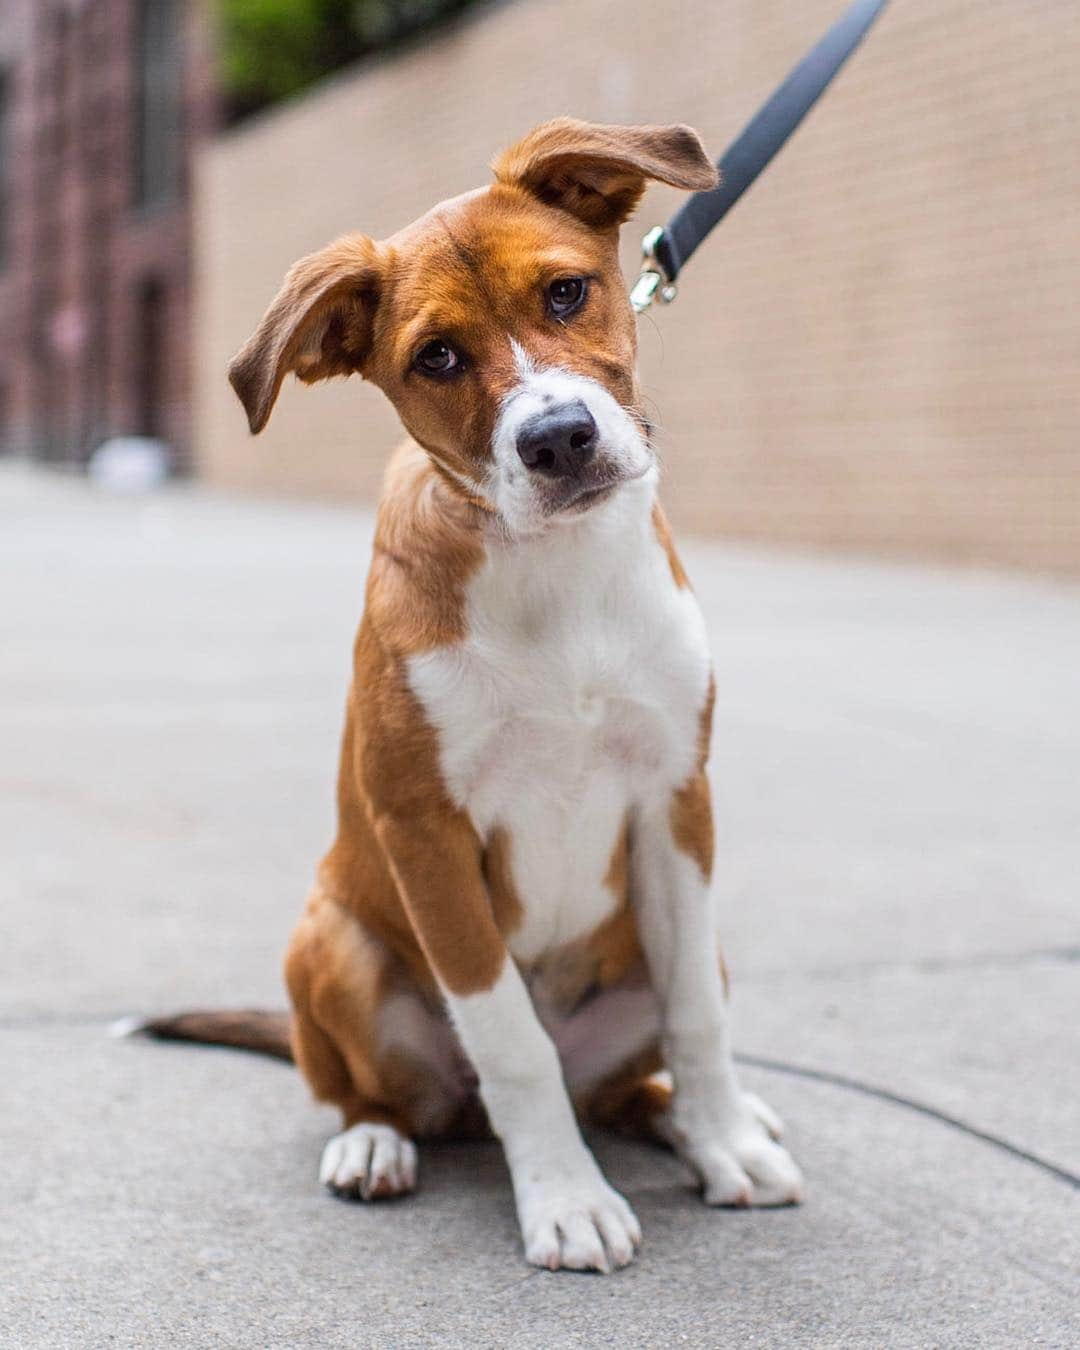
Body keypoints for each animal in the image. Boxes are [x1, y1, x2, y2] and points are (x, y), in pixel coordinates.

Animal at [143, 121, 799, 1269]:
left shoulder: (676, 799)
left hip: (681, 952)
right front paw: (567, 1201)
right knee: (387, 1092)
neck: (556, 575)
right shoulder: (428, 836)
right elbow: (509, 1039)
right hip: (331, 943)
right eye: (436, 358)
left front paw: (725, 1141)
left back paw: (689, 1119)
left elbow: (695, 1019)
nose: (559, 439)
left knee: (631, 1080)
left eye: (569, 292)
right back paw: (374, 1145)